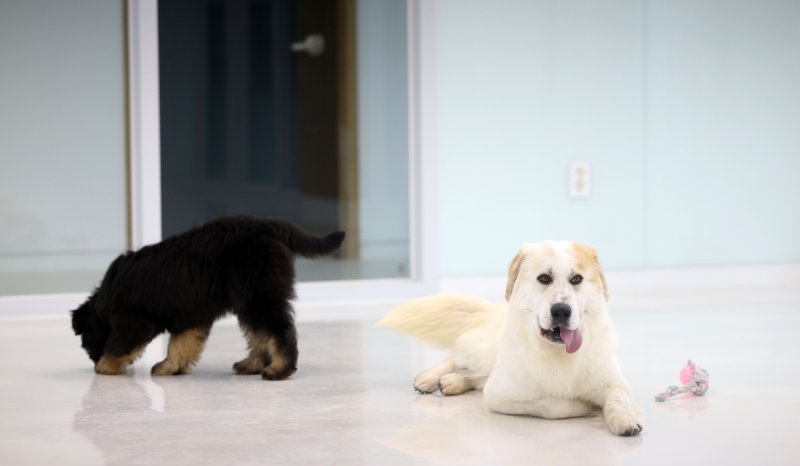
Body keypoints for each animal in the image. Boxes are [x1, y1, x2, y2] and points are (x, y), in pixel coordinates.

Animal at [75, 217, 346, 380]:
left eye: (86, 340)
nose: (91, 358)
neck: (106, 300)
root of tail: (273, 226)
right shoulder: (190, 315)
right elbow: (179, 344)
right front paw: (170, 366)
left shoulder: (132, 321)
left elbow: (119, 345)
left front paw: (105, 366)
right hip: (250, 300)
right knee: (260, 335)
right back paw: (252, 364)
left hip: (260, 297)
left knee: (278, 331)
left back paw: (279, 369)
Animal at [380, 242, 644, 436]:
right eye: (544, 278)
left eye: (576, 279)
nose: (561, 310)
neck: (557, 354)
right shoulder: (501, 395)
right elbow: (553, 405)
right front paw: (587, 406)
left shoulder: (614, 381)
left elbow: (618, 397)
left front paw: (625, 419)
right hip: (484, 353)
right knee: (457, 358)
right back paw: (430, 378)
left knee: (476, 377)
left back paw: (453, 382)